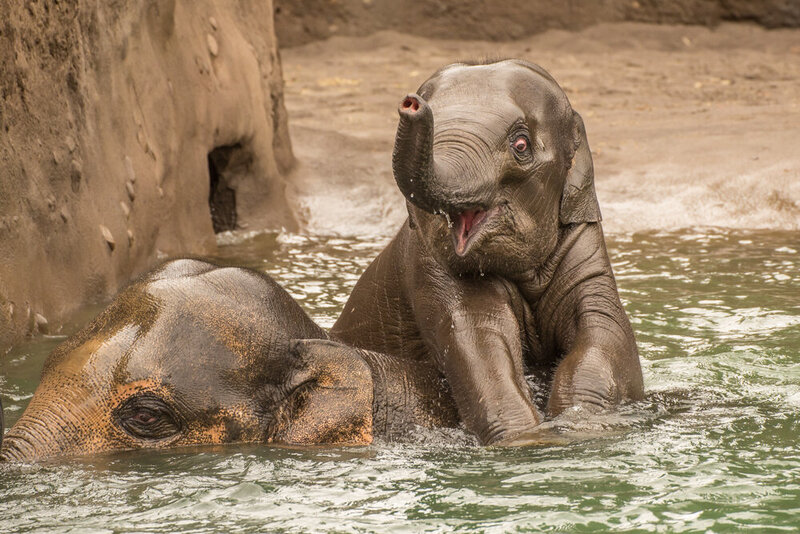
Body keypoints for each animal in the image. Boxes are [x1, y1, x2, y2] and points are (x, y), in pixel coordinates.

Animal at [332, 58, 644, 446]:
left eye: (521, 144)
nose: (411, 104)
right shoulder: (427, 267)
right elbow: (480, 340)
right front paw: (526, 439)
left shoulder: (586, 252)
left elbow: (605, 330)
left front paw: (577, 424)